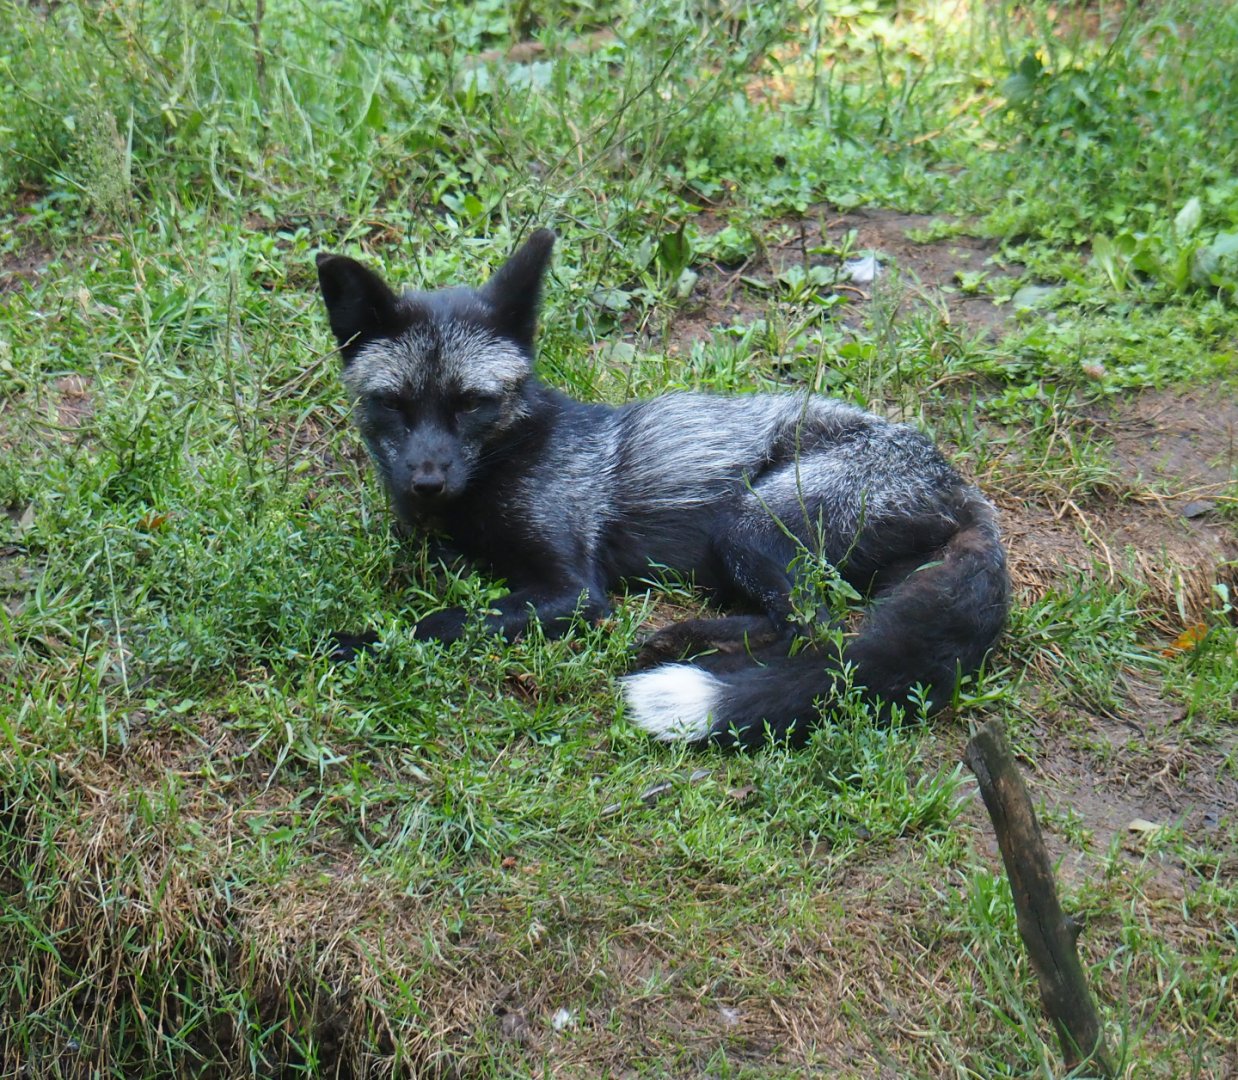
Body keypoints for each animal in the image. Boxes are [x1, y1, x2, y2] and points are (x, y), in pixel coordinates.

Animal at [314, 229, 1009, 749]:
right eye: (394, 405)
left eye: (469, 403)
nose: (427, 482)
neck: (512, 457)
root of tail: (958, 485)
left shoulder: (574, 590)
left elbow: (439, 622)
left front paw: (353, 643)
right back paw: (681, 642)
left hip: (748, 525)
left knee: (818, 633)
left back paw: (707, 666)